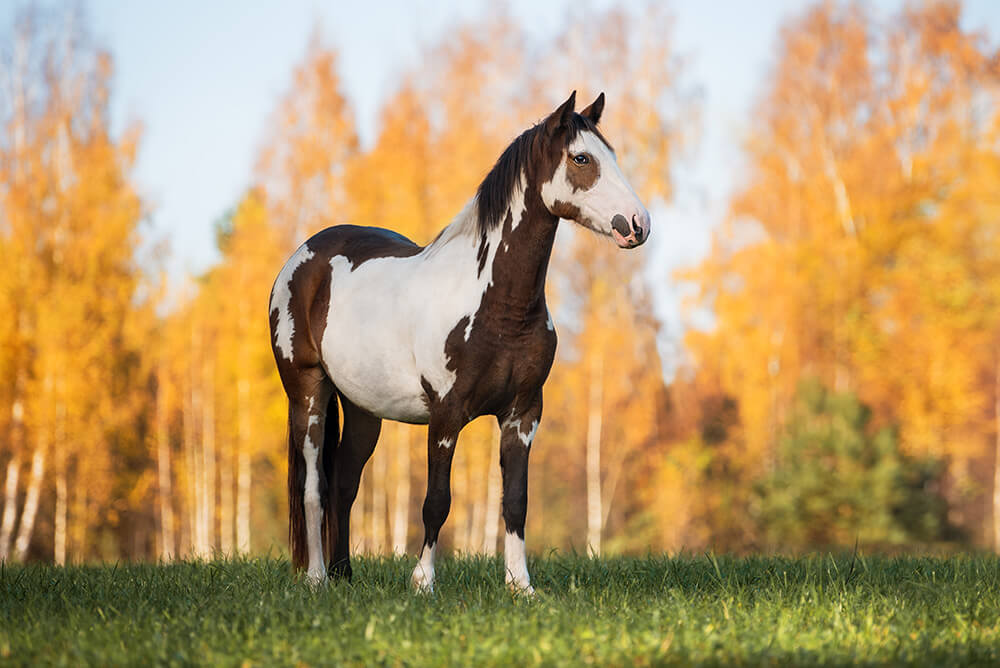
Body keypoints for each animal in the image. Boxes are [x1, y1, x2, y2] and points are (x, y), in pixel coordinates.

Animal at [270, 91, 652, 592]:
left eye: (613, 155)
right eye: (581, 158)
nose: (638, 224)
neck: (496, 303)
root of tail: (304, 257)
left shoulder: (522, 414)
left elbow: (516, 502)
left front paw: (520, 585)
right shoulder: (446, 416)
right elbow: (436, 501)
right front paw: (423, 582)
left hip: (362, 410)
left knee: (344, 484)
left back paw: (344, 575)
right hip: (308, 394)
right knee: (314, 487)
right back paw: (317, 579)